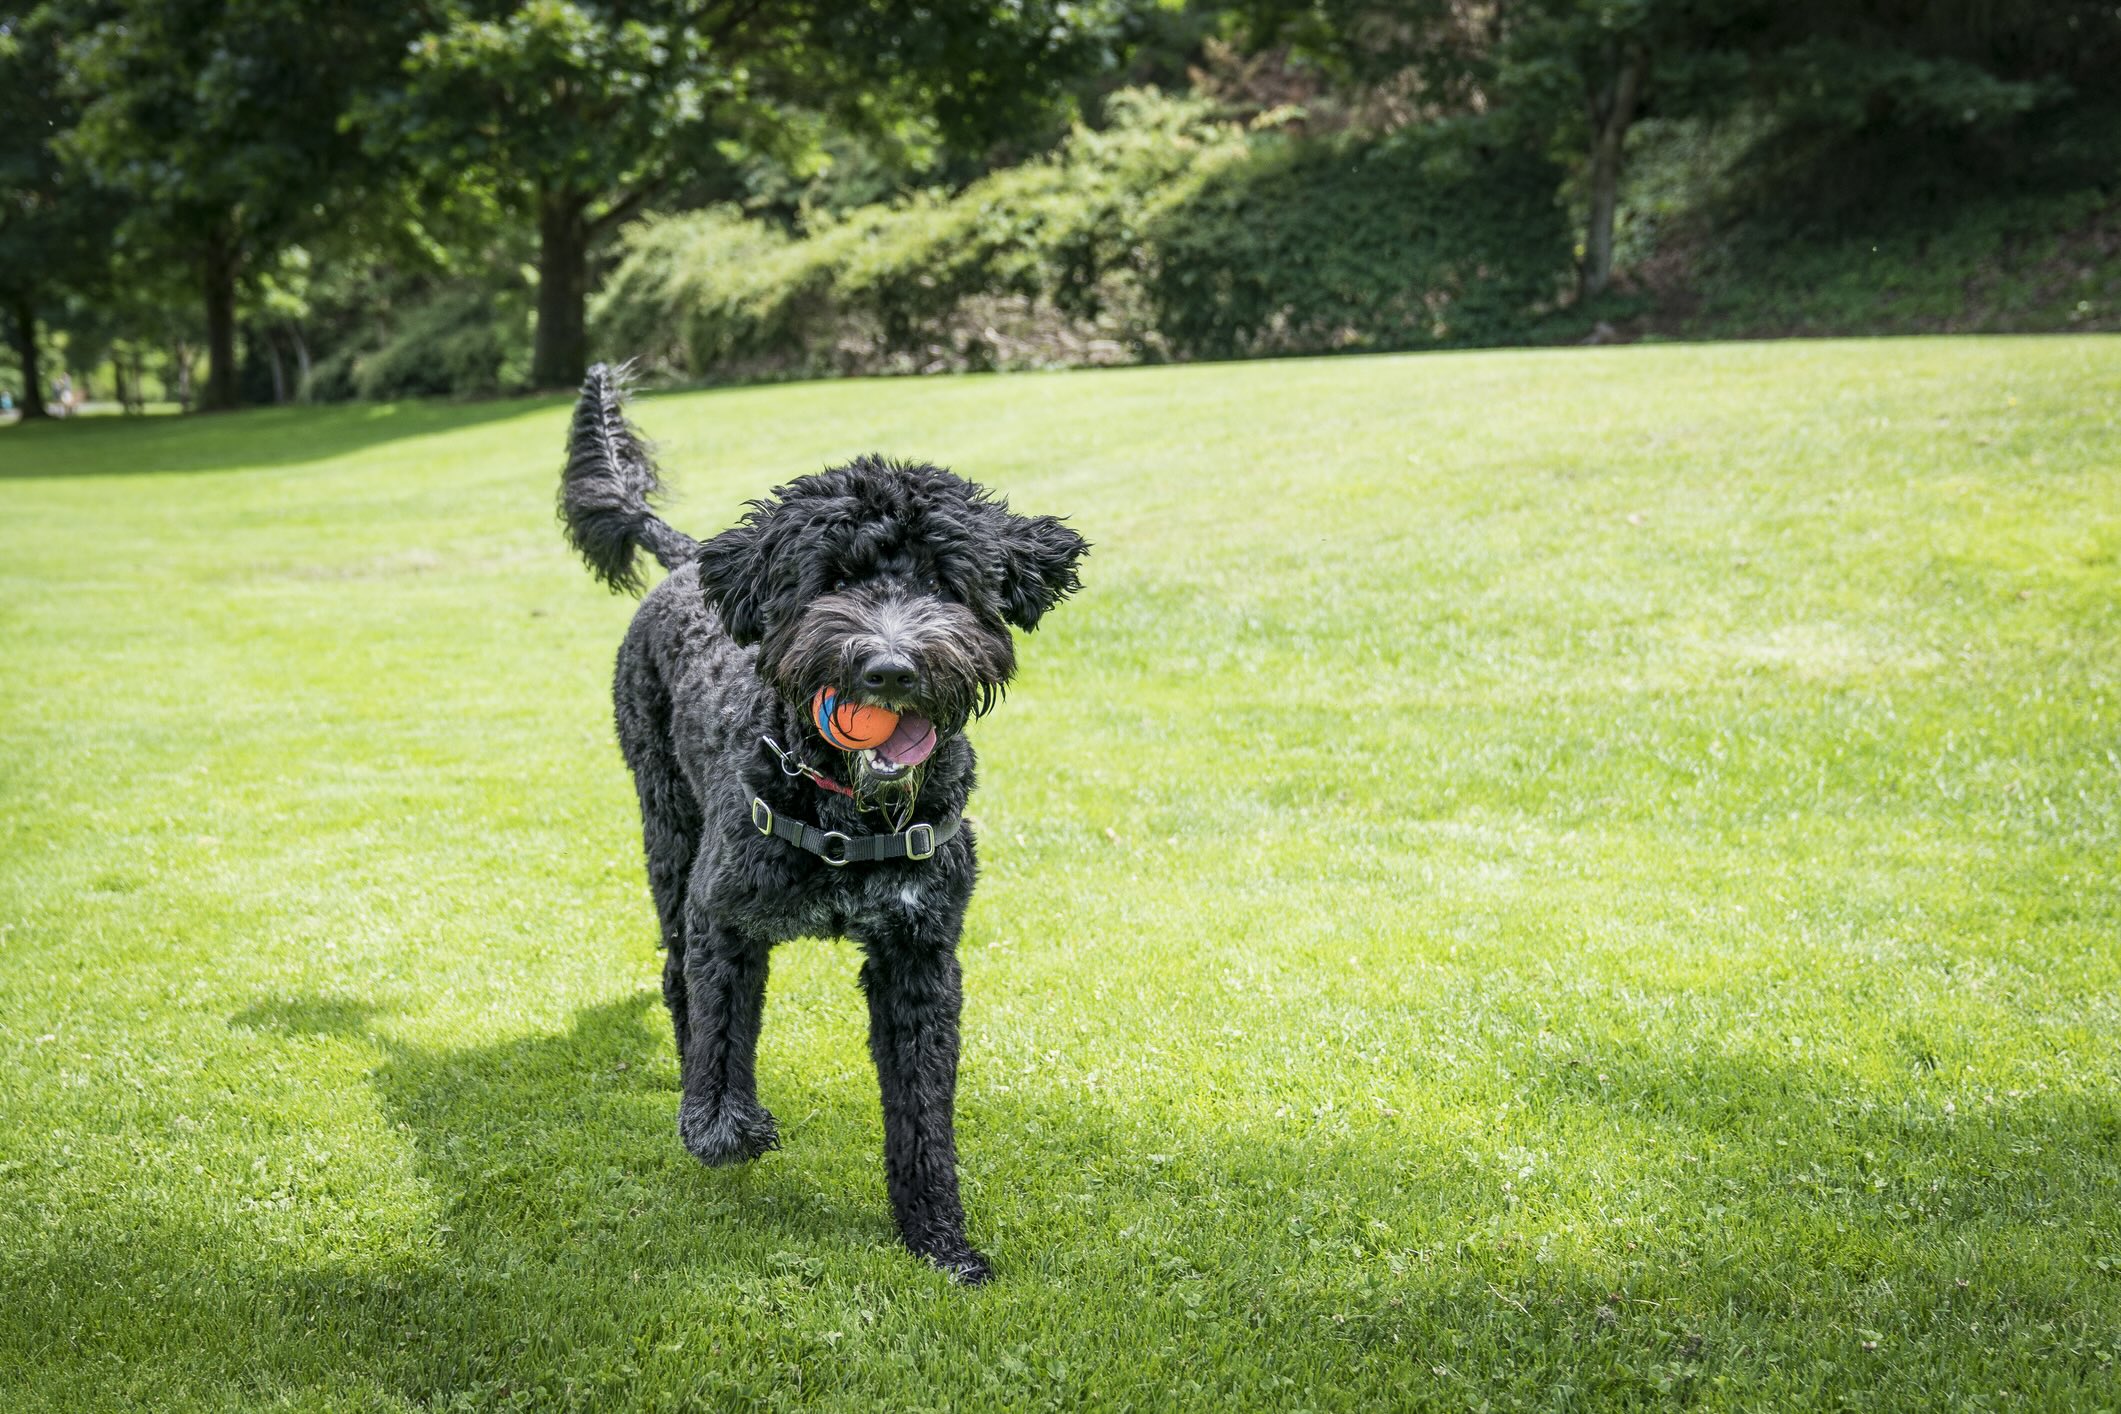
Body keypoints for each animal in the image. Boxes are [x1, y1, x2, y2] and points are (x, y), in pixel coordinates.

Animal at [555, 364, 1085, 1280]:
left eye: (944, 583)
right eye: (832, 579)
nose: (889, 666)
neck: (843, 808)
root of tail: (690, 562)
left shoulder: (920, 958)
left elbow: (922, 1114)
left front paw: (938, 1238)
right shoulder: (724, 917)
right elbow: (723, 1033)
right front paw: (724, 1125)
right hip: (667, 830)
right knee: (677, 975)